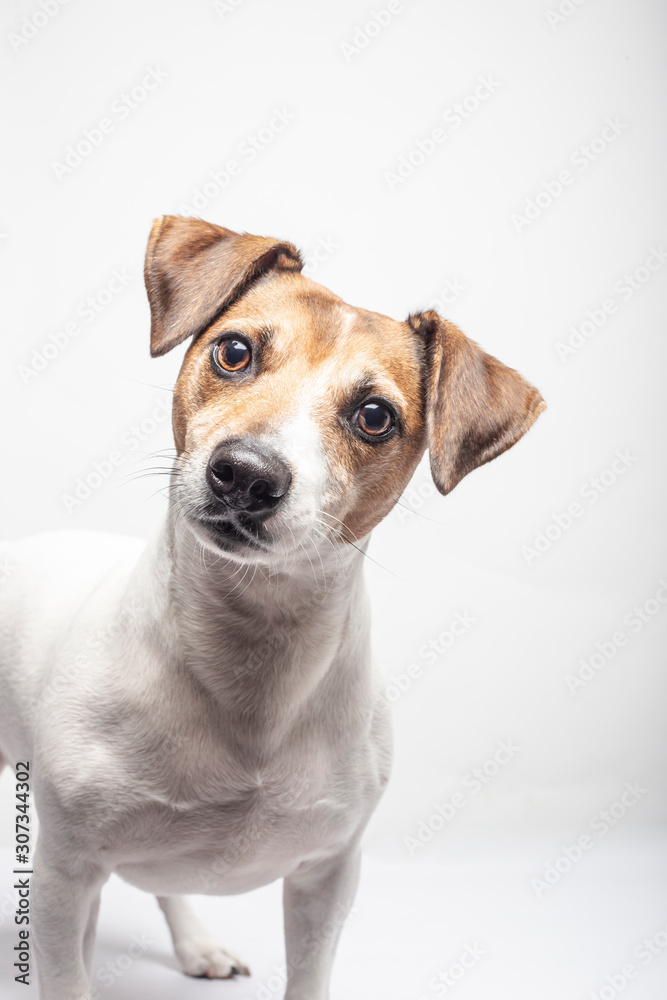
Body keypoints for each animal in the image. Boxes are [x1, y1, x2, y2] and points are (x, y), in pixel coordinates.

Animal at [0, 215, 544, 996]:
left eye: (374, 416)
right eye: (234, 351)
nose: (246, 475)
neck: (253, 650)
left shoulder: (328, 877)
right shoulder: (64, 872)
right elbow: (64, 970)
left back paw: (197, 945)